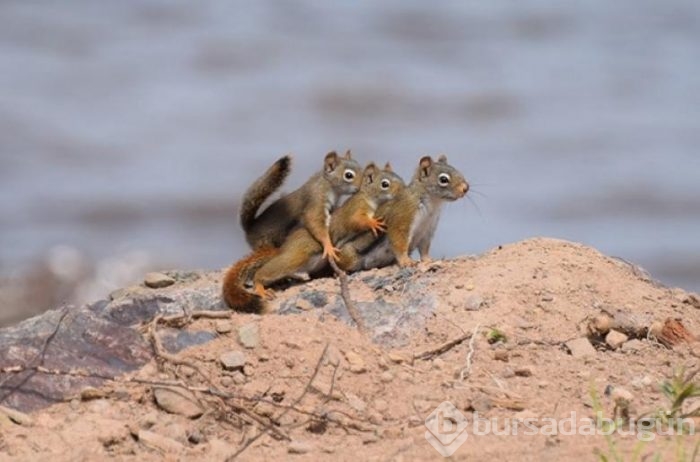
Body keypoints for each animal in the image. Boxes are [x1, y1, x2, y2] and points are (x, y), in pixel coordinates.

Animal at [221, 163, 402, 314]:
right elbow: (356, 221)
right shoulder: (356, 208)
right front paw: (373, 223)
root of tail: (283, 248)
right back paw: (260, 286)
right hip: (295, 257)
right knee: (266, 271)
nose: (402, 191)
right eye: (385, 183)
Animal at [334, 155, 468, 270]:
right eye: (443, 179)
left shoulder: (427, 230)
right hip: (350, 254)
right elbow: (399, 242)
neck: (432, 205)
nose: (466, 188)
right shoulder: (403, 216)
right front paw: (406, 261)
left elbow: (424, 248)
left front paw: (428, 260)